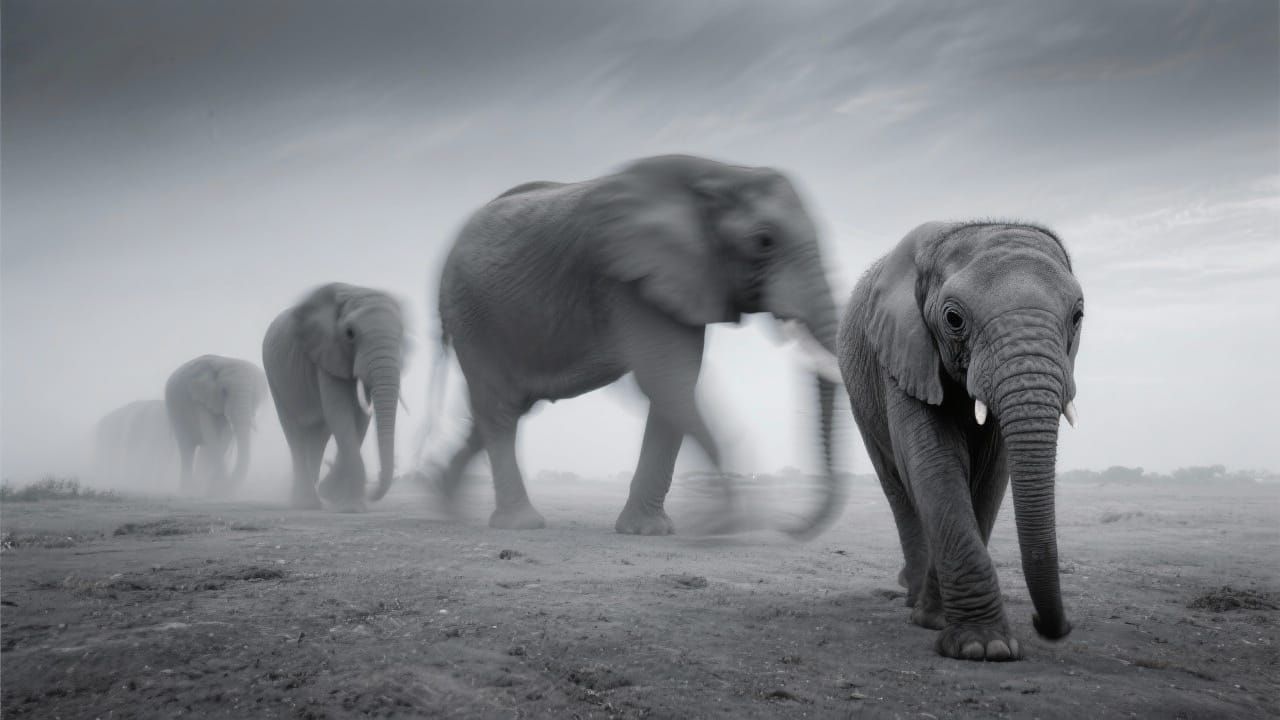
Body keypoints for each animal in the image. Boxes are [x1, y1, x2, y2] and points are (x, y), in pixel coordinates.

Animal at [164, 355, 269, 496]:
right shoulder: (201, 400)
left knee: (203, 451)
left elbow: (224, 439)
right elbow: (212, 436)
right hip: (175, 412)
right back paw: (188, 491)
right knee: (187, 450)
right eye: (224, 392)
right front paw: (219, 489)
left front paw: (215, 490)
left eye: (254, 394)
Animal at [262, 283, 406, 512]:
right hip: (275, 377)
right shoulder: (327, 354)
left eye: (401, 333)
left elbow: (359, 419)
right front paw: (352, 508)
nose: (374, 494)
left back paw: (314, 493)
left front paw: (335, 496)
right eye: (350, 333)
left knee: (319, 434)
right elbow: (340, 413)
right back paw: (306, 504)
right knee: (293, 432)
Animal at [419, 154, 845, 536]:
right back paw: (518, 524)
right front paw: (722, 523)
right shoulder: (630, 277)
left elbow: (675, 388)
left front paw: (650, 531)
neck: (722, 173)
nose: (791, 528)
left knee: (503, 409)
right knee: (501, 410)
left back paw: (445, 502)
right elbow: (666, 382)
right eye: (764, 241)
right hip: (474, 316)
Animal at [837, 221, 1083, 661]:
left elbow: (990, 477)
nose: (1049, 626)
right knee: (898, 487)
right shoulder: (902, 352)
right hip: (860, 399)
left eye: (1077, 316)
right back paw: (912, 598)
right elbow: (934, 463)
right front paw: (983, 646)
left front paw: (947, 626)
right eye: (953, 319)